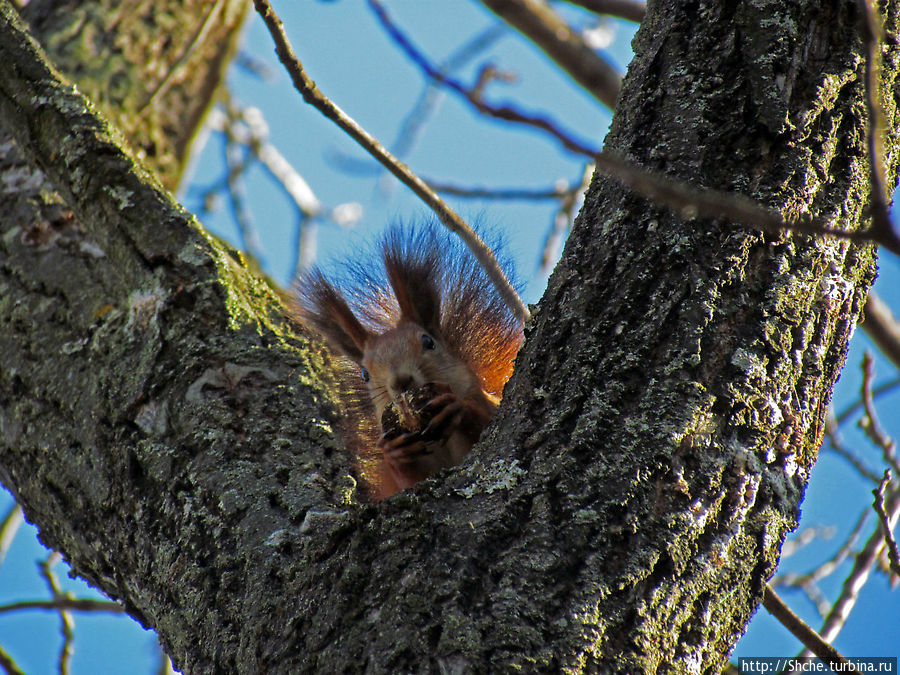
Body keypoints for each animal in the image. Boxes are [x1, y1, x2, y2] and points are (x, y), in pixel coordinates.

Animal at [296, 224, 524, 500]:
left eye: (428, 342)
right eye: (364, 374)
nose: (400, 381)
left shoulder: (485, 402)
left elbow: (483, 414)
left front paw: (455, 406)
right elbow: (406, 479)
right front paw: (394, 453)